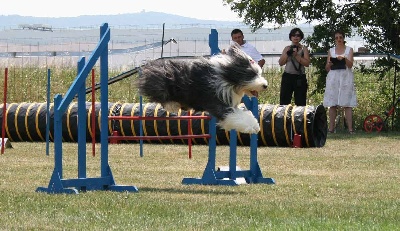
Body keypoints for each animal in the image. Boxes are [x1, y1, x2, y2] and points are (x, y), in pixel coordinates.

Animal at [138, 45, 268, 134]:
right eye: (251, 75)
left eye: (258, 73)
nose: (265, 85)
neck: (225, 77)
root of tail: (150, 65)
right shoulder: (216, 102)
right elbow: (232, 114)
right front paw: (252, 127)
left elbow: (241, 113)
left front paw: (255, 125)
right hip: (161, 86)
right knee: (161, 98)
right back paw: (173, 105)